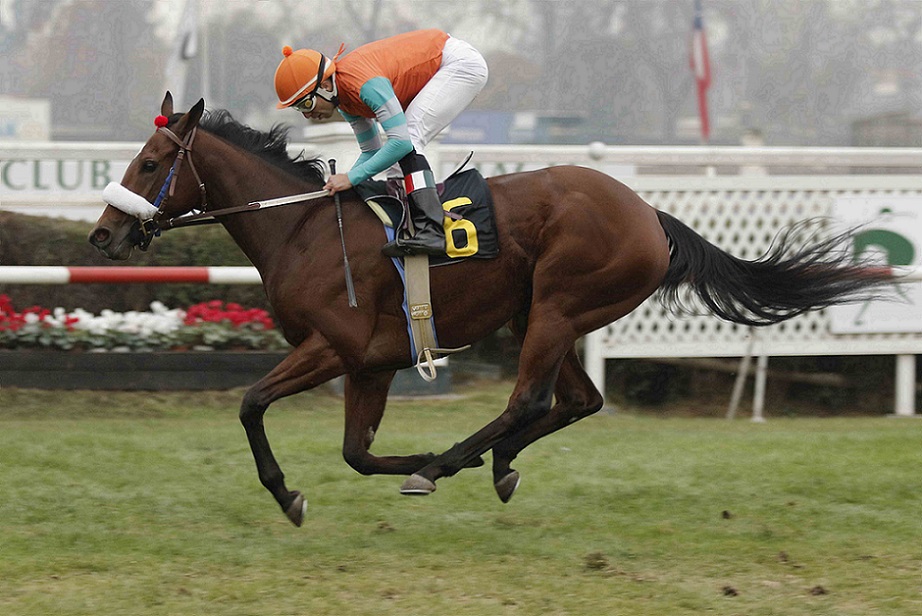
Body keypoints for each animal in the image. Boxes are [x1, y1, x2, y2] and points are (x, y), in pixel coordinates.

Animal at [88, 93, 890, 527]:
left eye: (151, 163)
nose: (103, 234)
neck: (304, 226)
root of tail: (649, 212)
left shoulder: (333, 348)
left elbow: (252, 403)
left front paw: (292, 494)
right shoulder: (371, 364)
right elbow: (355, 452)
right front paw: (409, 459)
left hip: (559, 305)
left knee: (528, 399)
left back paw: (453, 462)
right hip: (541, 315)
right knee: (577, 400)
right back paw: (490, 462)